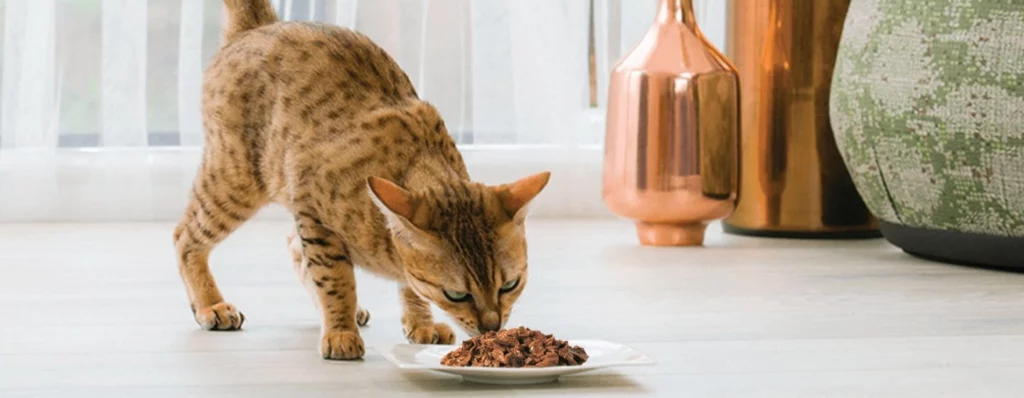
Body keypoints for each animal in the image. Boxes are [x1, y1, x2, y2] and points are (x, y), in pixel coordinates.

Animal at [172, 0, 548, 360]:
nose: (491, 328)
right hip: (236, 179)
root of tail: (259, 26)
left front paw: (420, 323)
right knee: (185, 236)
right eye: (457, 294)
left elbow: (409, 286)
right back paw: (210, 305)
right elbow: (335, 280)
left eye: (510, 285)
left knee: (291, 245)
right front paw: (340, 332)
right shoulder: (315, 214)